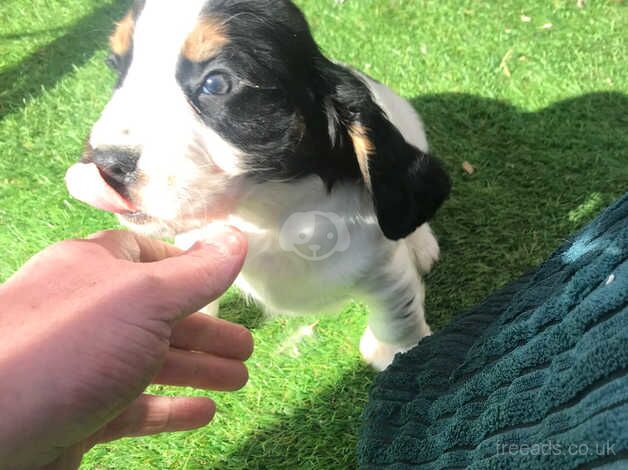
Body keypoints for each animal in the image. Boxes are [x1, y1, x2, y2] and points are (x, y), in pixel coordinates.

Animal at [66, 0, 448, 370]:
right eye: (116, 66)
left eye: (216, 84)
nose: (102, 163)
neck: (268, 213)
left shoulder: (383, 269)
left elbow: (397, 317)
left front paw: (397, 352)